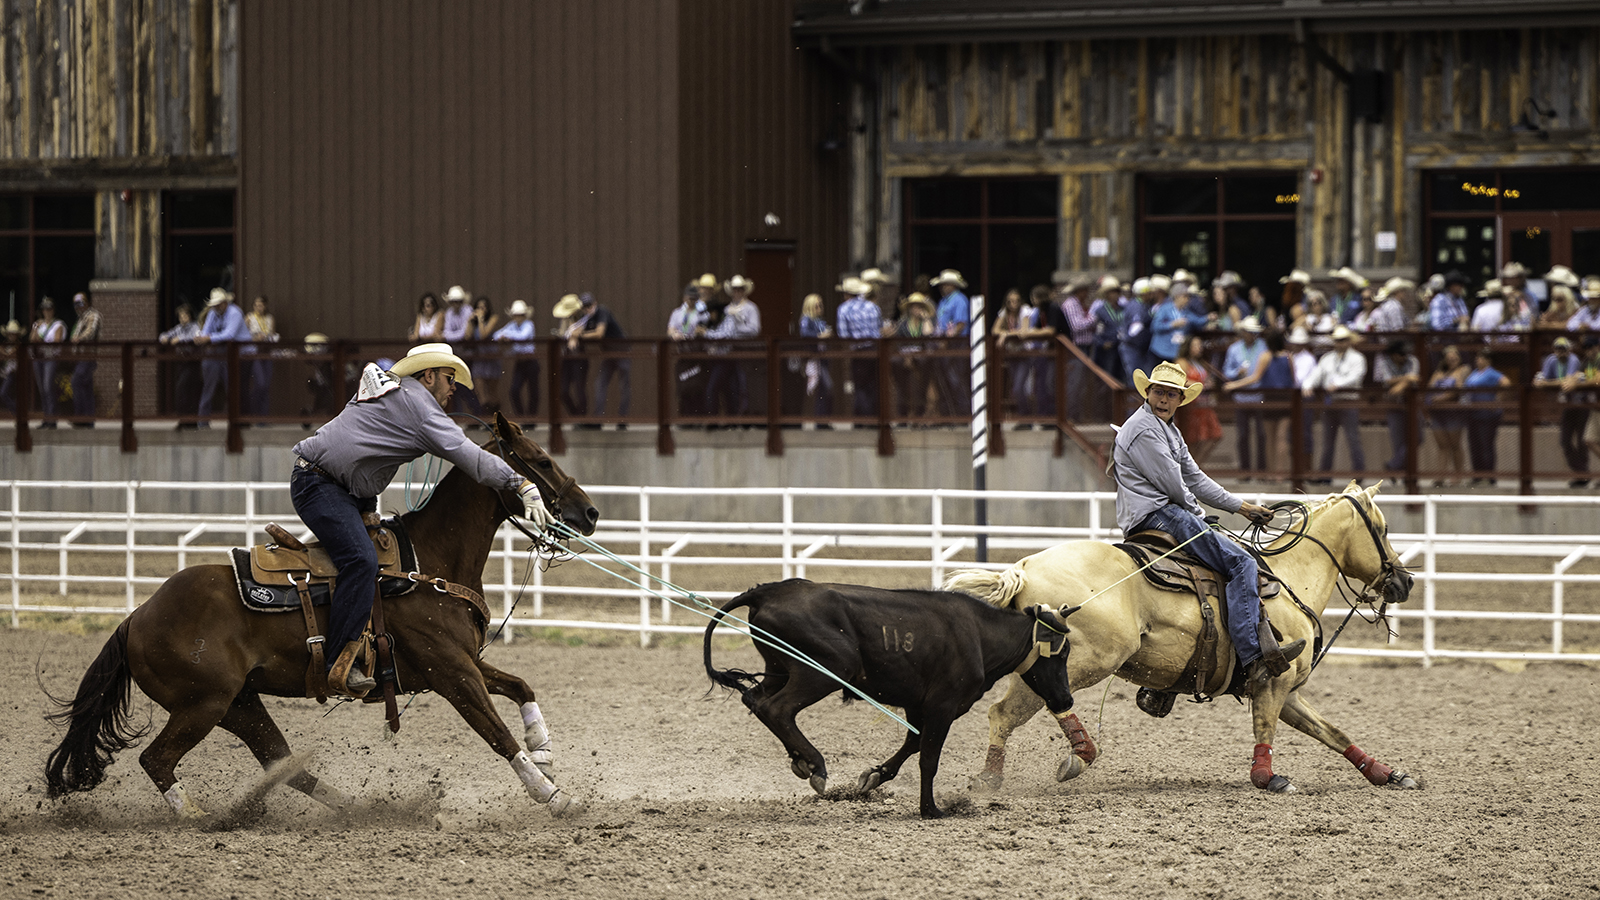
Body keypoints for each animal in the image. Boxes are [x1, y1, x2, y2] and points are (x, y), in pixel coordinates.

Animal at [43, 413, 598, 819]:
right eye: (540, 461)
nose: (589, 513)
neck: (429, 562)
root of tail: (136, 616)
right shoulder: (451, 672)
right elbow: (497, 734)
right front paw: (554, 796)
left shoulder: (464, 661)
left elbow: (522, 686)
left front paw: (544, 750)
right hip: (204, 703)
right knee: (156, 759)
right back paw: (198, 817)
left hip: (239, 703)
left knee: (282, 763)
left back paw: (361, 810)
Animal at [940, 480, 1420, 787]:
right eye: (1383, 529)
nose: (1405, 581)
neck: (1288, 580)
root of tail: (1022, 568)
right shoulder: (1273, 681)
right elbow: (1264, 729)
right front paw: (1266, 777)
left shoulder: (1289, 692)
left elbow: (1333, 733)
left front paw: (1387, 773)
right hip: (1085, 660)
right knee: (1038, 705)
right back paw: (1080, 755)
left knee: (1001, 713)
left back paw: (991, 778)